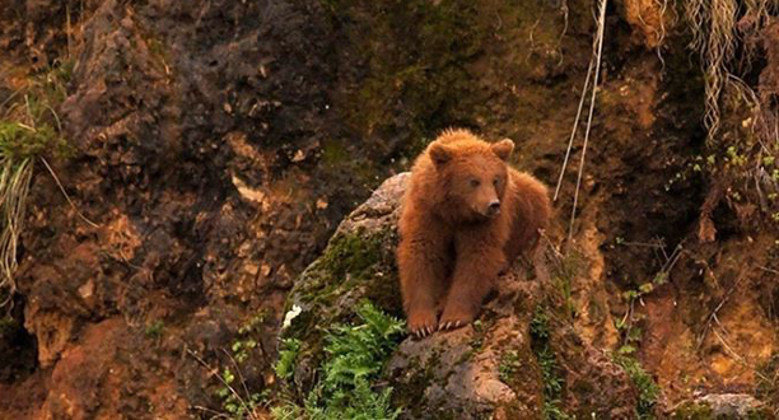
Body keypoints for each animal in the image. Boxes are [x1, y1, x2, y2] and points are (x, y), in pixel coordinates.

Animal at [400, 128, 552, 338]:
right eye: (474, 181)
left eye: (495, 179)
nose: (493, 205)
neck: (456, 212)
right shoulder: (428, 212)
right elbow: (421, 254)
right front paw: (422, 324)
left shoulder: (481, 224)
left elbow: (476, 258)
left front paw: (452, 319)